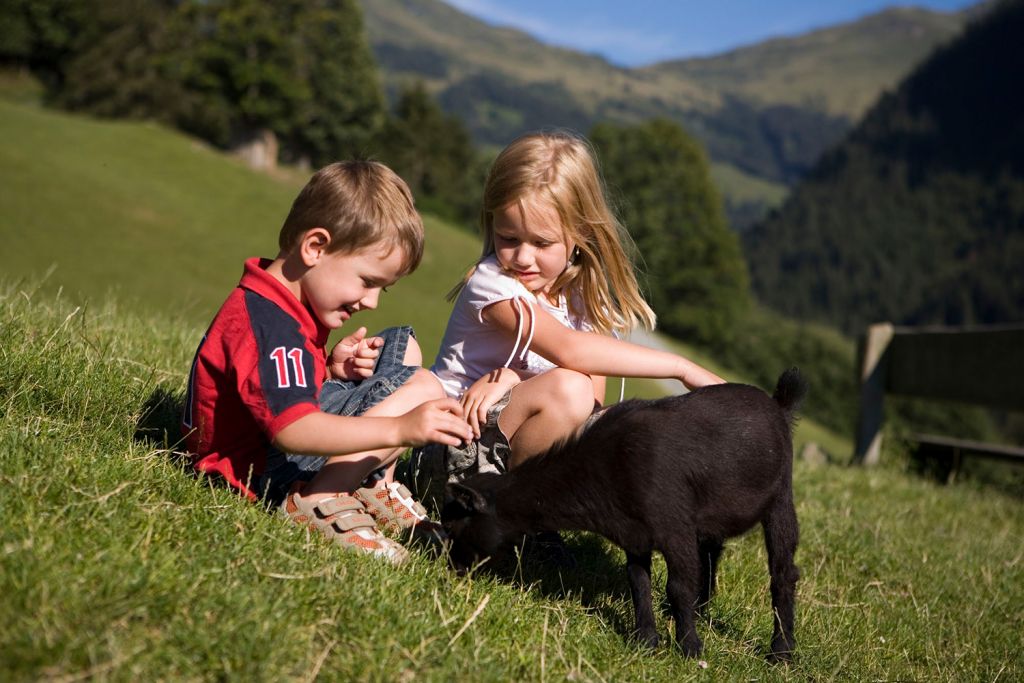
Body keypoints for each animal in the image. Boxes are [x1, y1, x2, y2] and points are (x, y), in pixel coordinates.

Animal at [440, 368, 806, 663]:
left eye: (458, 527)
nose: (452, 571)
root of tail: (777, 403)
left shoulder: (673, 526)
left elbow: (677, 586)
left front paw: (689, 648)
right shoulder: (635, 534)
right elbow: (638, 582)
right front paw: (646, 640)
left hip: (780, 496)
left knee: (783, 573)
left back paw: (781, 652)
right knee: (712, 552)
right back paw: (703, 610)